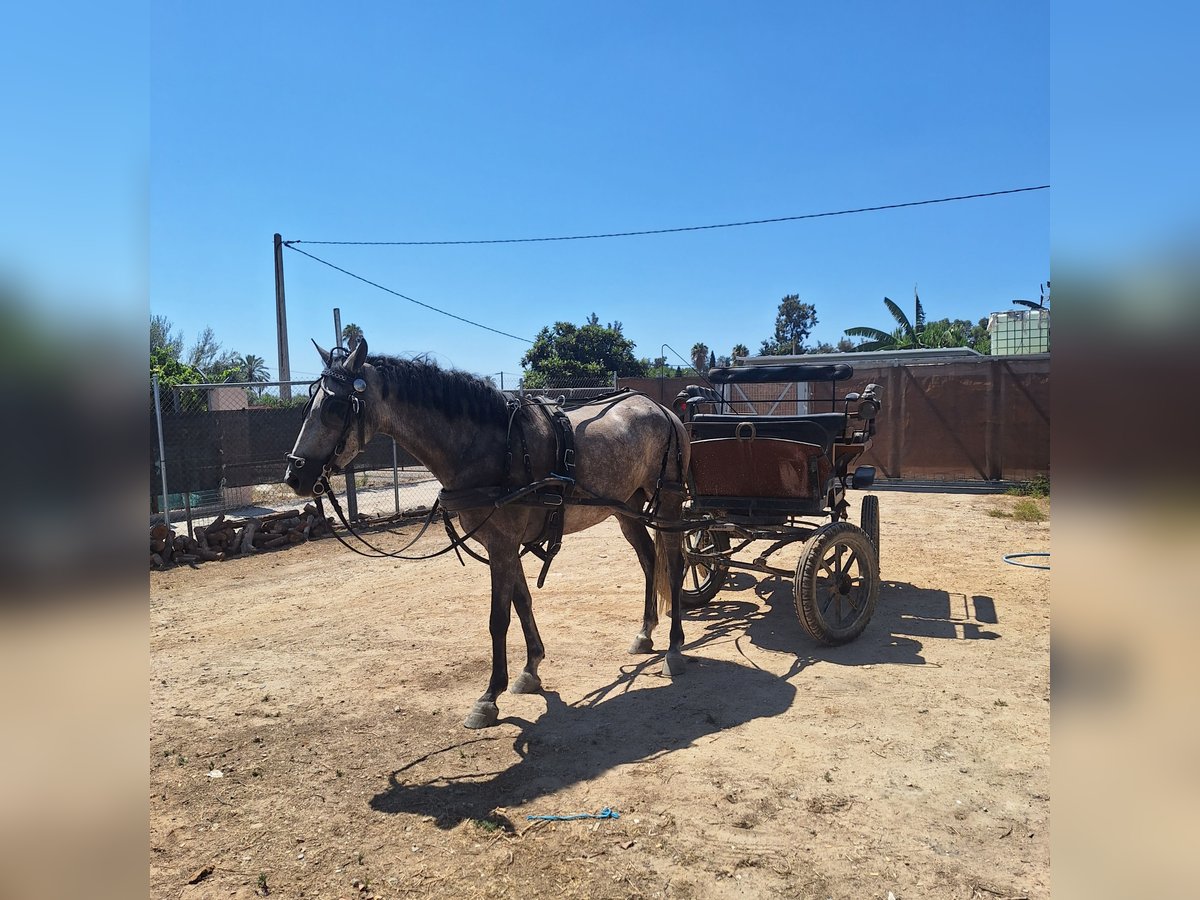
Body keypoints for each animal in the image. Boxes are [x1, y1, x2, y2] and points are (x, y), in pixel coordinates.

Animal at [283, 340, 696, 734]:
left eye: (335, 408)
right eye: (308, 407)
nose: (295, 476)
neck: (491, 447)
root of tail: (662, 409)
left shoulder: (502, 545)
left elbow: (498, 618)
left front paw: (489, 696)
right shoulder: (506, 546)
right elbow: (523, 602)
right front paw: (530, 669)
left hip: (669, 502)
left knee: (674, 564)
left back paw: (674, 647)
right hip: (625, 507)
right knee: (649, 559)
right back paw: (645, 632)